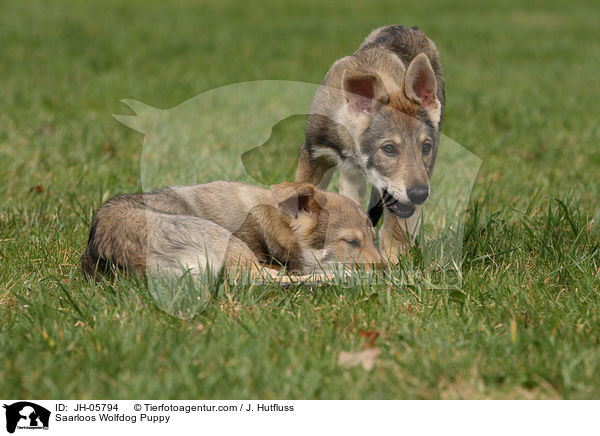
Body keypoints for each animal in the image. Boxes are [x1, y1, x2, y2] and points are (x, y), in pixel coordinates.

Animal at [296, 25, 446, 258]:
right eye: (389, 148)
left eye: (426, 147)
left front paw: (394, 262)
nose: (420, 195)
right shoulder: (314, 154)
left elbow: (396, 229)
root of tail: (410, 28)